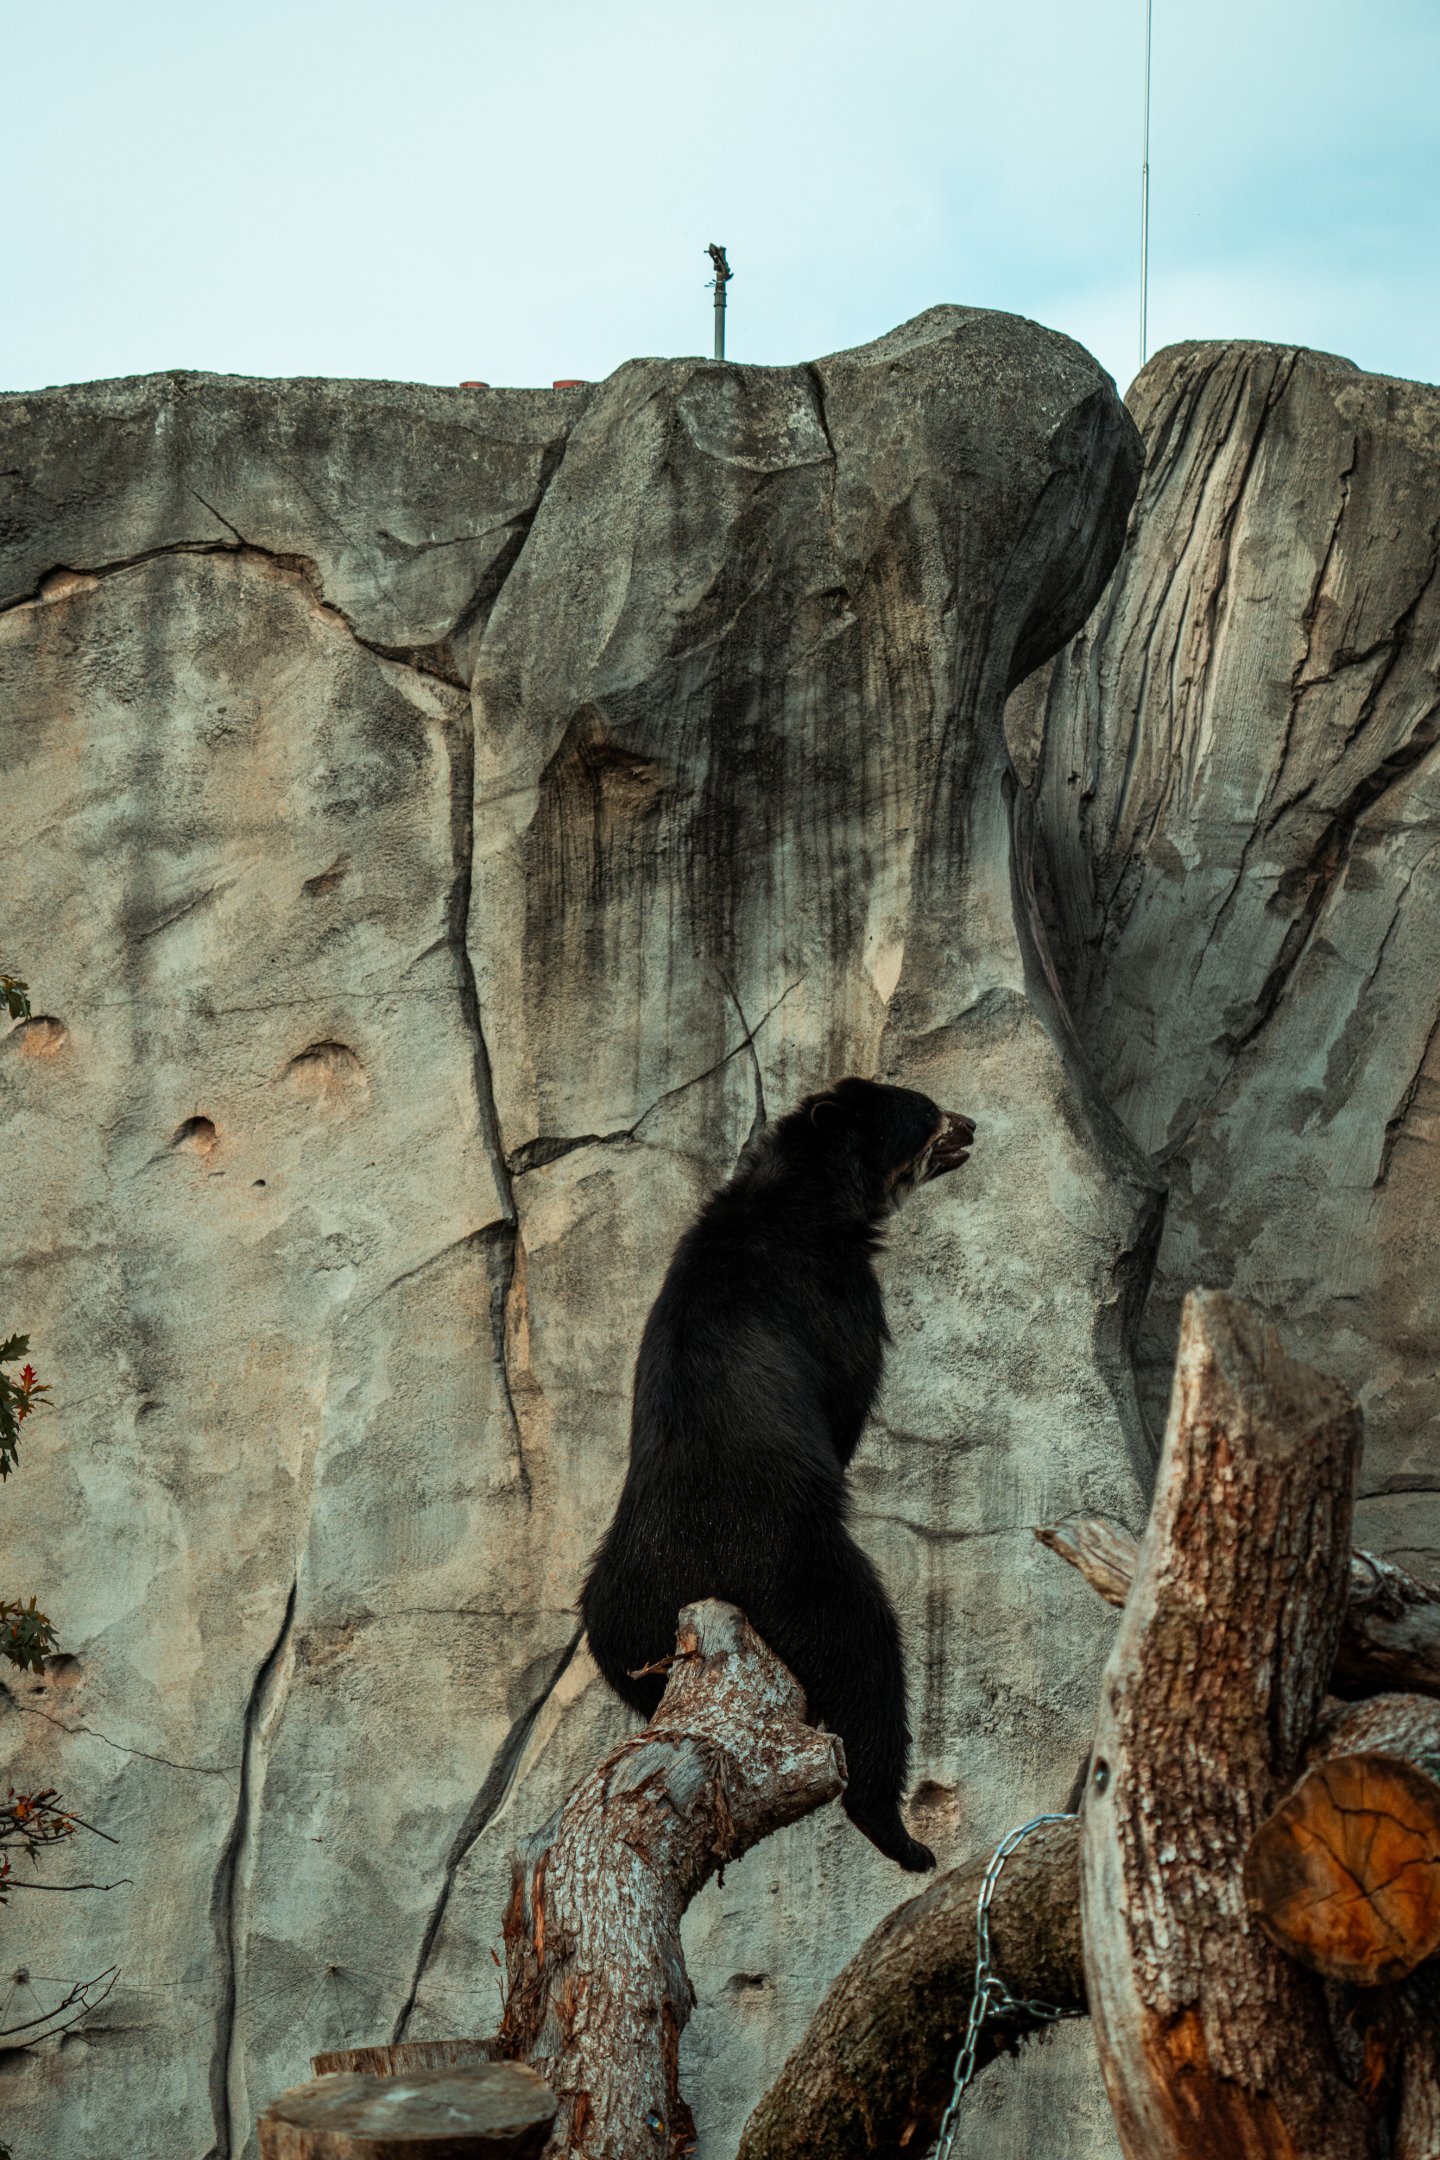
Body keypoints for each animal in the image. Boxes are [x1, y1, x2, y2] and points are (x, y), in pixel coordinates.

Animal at [580, 1075, 976, 1872]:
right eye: (924, 1110)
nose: (971, 1125)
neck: (807, 1192)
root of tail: (690, 1586)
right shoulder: (834, 1294)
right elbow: (849, 1388)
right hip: (798, 1570)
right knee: (868, 1663)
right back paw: (900, 1835)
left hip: (613, 1614)